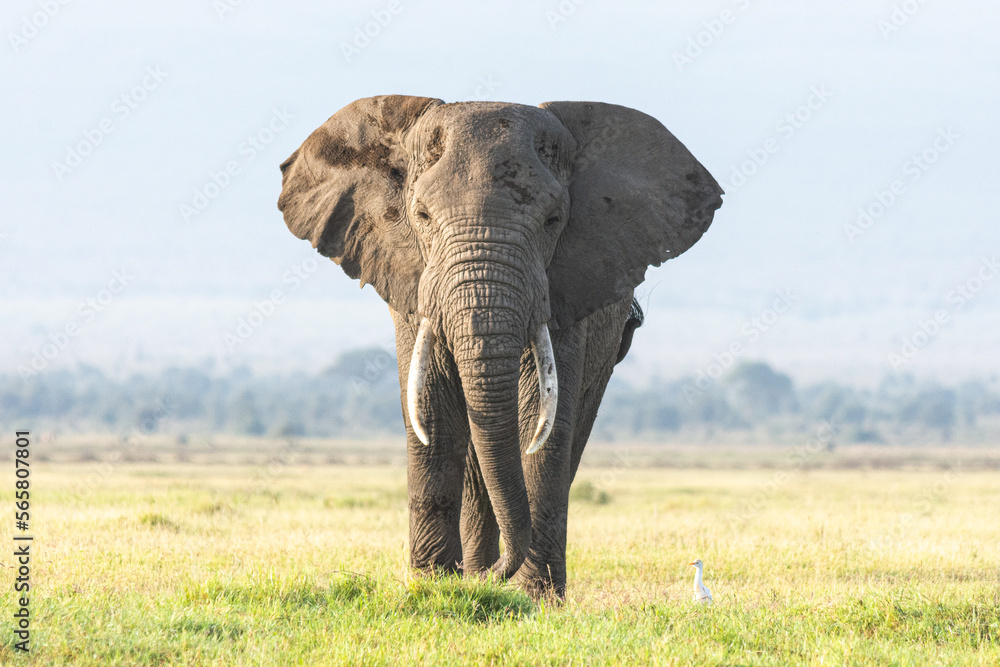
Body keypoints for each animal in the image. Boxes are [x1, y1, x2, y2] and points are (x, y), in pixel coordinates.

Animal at [277, 95, 722, 597]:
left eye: (553, 220)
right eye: (422, 216)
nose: (489, 578)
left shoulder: (566, 288)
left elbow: (539, 420)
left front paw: (536, 598)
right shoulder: (412, 282)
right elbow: (432, 406)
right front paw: (434, 587)